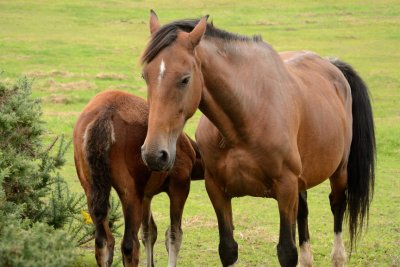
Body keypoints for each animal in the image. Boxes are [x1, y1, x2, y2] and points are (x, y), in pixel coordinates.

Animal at [73, 90, 203, 267]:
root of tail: (104, 115)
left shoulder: (146, 194)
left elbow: (149, 232)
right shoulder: (180, 183)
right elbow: (173, 235)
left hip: (91, 188)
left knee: (103, 241)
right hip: (130, 191)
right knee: (129, 245)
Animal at [140, 11, 376, 267]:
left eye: (184, 79)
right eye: (145, 76)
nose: (154, 154)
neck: (245, 121)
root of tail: (331, 65)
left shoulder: (286, 188)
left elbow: (286, 251)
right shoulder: (217, 189)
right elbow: (228, 249)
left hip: (339, 171)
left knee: (337, 204)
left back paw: (338, 256)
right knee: (304, 211)